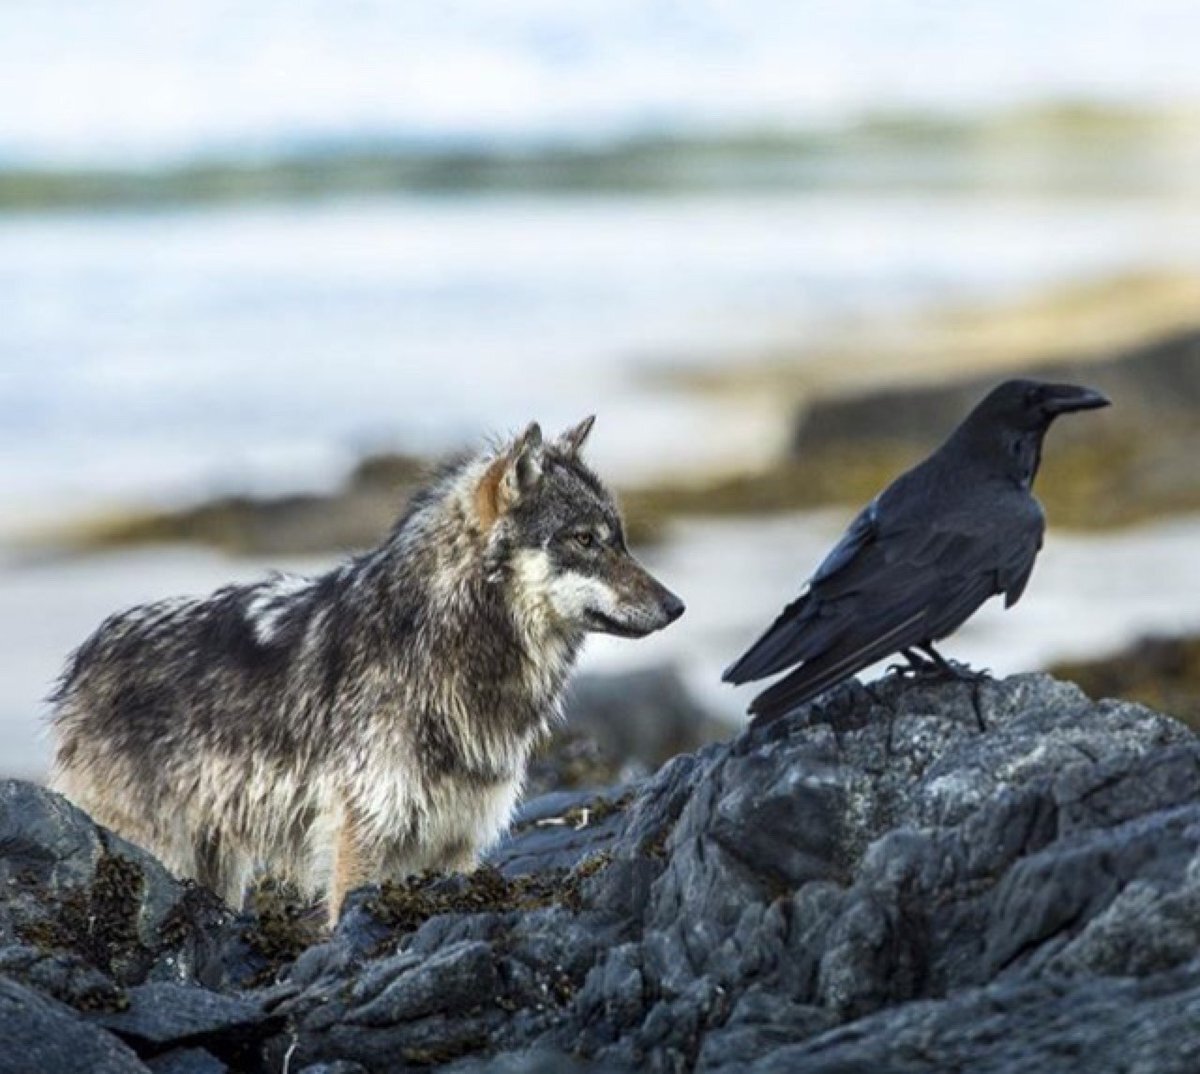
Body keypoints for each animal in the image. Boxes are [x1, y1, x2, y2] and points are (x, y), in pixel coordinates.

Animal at [51, 415, 686, 921]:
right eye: (584, 540)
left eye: (620, 540)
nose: (676, 606)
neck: (448, 646)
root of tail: (85, 657)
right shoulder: (361, 840)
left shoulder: (457, 848)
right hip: (166, 853)